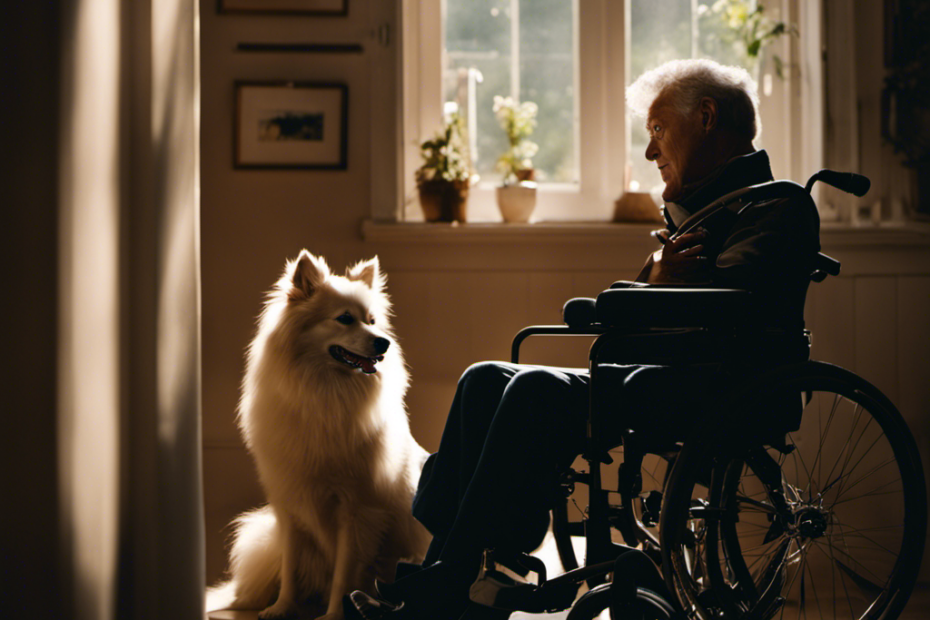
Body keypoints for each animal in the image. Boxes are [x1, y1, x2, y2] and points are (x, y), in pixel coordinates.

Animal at [208, 249, 430, 616]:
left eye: (372, 321)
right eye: (345, 319)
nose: (383, 342)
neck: (324, 393)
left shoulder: (356, 511)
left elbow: (345, 573)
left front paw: (334, 614)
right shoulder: (290, 505)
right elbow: (290, 568)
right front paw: (282, 608)